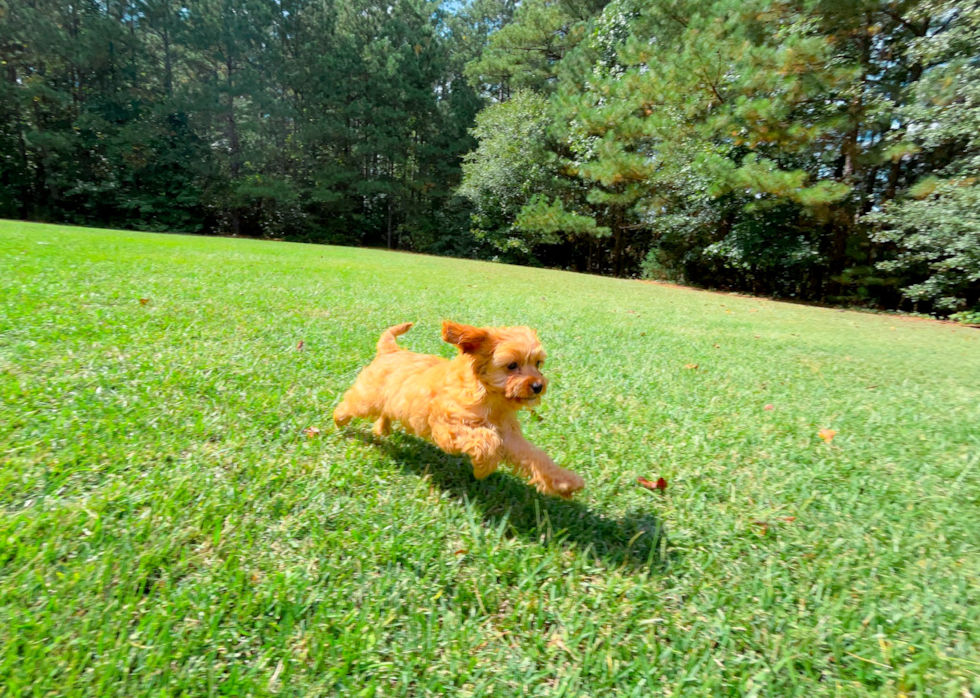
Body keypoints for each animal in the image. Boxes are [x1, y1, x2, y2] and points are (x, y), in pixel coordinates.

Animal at [334, 320, 584, 494]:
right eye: (512, 366)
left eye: (538, 364)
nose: (538, 386)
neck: (491, 400)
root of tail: (391, 350)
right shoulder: (449, 426)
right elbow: (487, 439)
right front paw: (483, 468)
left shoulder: (510, 437)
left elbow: (536, 456)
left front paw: (566, 482)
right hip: (367, 398)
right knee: (351, 404)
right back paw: (339, 420)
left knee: (385, 413)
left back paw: (382, 429)